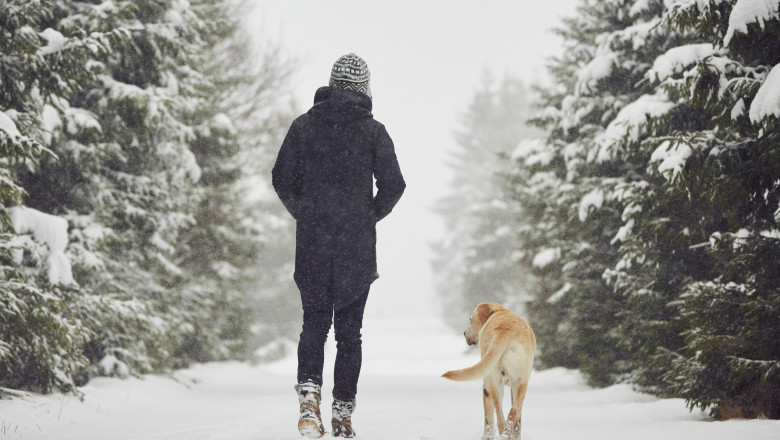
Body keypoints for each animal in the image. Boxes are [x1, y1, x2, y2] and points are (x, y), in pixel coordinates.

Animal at [444, 302, 536, 440]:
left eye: (470, 320)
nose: (464, 333)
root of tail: (506, 331)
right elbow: (517, 419)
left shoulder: (486, 387)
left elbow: (488, 419)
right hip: (520, 384)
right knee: (512, 415)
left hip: (493, 385)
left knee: (500, 419)